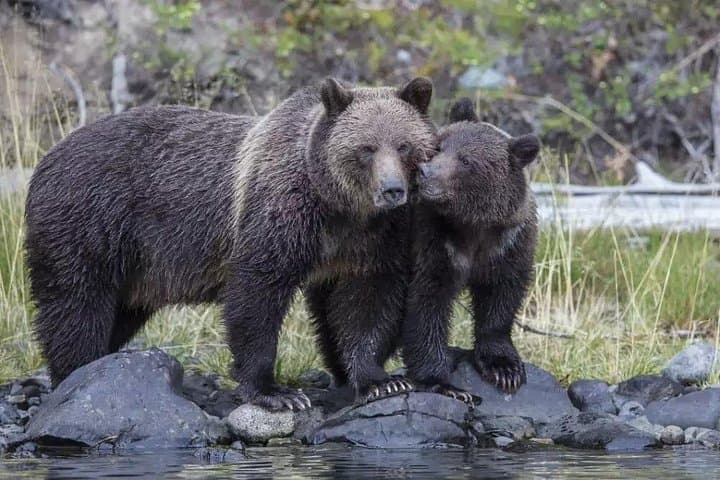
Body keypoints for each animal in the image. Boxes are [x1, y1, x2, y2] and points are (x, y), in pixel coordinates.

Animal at [24, 77, 436, 410]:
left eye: (403, 145)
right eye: (366, 148)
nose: (392, 190)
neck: (340, 209)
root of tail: (47, 157)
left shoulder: (371, 241)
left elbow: (367, 301)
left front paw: (379, 380)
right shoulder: (279, 216)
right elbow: (256, 293)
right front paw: (276, 392)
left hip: (136, 266)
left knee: (118, 311)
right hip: (90, 220)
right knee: (77, 301)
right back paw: (78, 371)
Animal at [401, 97, 540, 396]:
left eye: (466, 160)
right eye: (439, 147)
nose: (425, 172)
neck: (472, 224)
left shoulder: (508, 244)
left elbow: (500, 298)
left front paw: (504, 368)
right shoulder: (435, 244)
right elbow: (426, 303)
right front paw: (442, 382)